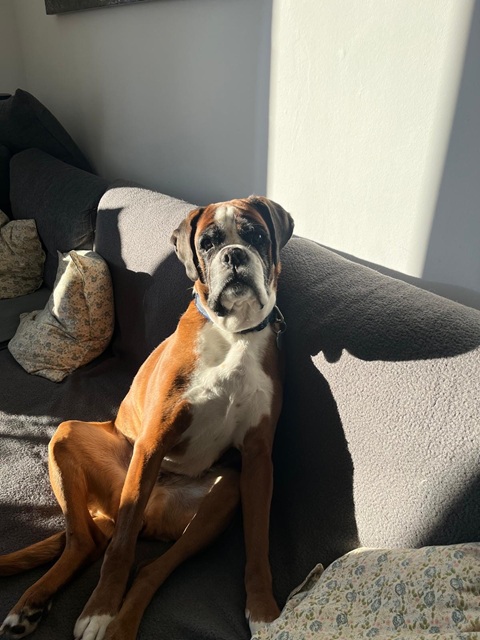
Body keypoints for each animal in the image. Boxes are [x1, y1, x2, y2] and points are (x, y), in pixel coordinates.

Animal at [0, 195, 294, 640]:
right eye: (207, 244)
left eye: (257, 236)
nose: (234, 256)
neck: (233, 335)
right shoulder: (154, 440)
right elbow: (120, 549)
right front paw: (100, 608)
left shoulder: (259, 461)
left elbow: (258, 544)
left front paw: (262, 611)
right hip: (74, 441)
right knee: (88, 541)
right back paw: (36, 605)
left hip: (223, 496)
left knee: (148, 567)